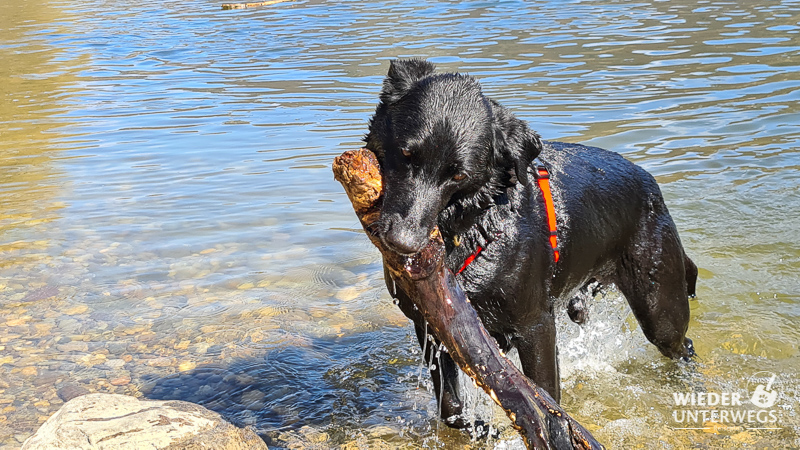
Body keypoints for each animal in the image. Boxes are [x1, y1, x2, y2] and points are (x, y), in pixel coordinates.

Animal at [362, 59, 692, 428]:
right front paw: (478, 426)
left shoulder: (536, 327)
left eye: (458, 175)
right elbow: (450, 406)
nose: (402, 242)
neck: (473, 227)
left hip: (660, 308)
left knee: (684, 345)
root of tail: (651, 184)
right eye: (406, 154)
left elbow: (545, 397)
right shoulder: (431, 326)